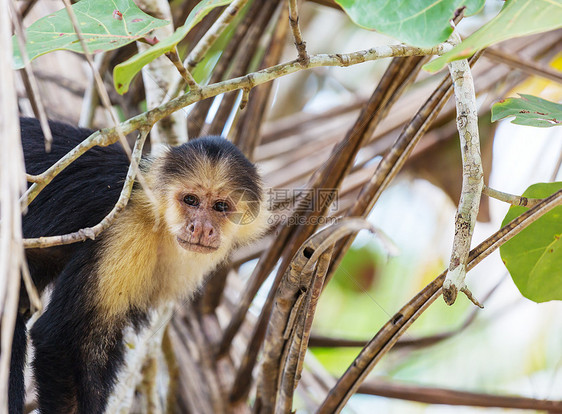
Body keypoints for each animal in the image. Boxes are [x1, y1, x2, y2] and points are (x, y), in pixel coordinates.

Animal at [11, 117, 266, 414]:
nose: (202, 228)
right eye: (190, 200)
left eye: (221, 206)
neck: (160, 224)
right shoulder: (125, 230)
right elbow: (58, 338)